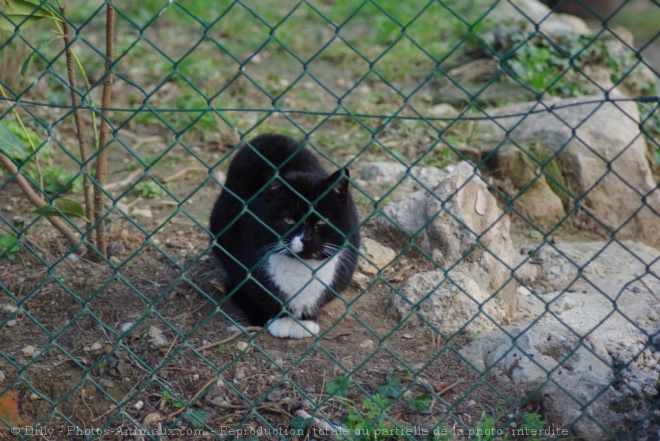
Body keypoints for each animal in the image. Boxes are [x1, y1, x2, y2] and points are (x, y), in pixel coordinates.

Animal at [209, 132, 358, 338]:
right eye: (288, 220)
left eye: (321, 221)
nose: (307, 240)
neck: (302, 268)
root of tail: (270, 136)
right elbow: (255, 293)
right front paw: (277, 319)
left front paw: (306, 321)